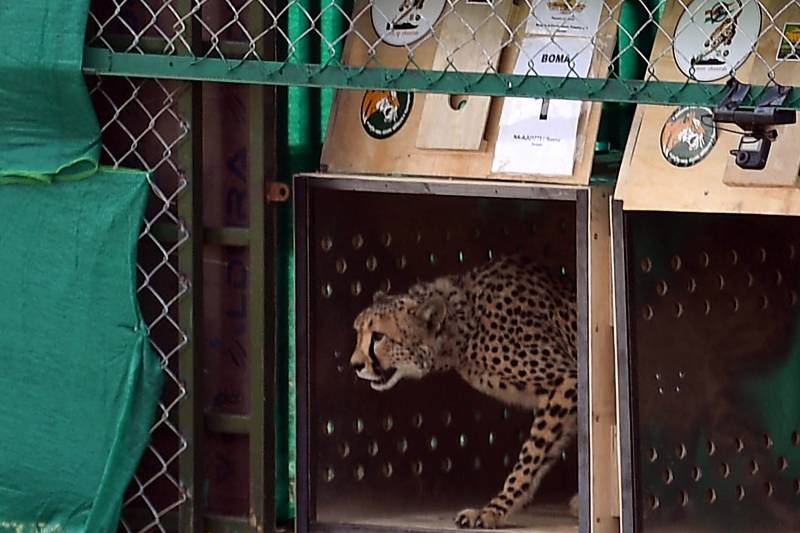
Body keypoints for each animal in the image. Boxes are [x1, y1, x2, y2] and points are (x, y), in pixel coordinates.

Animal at [346, 255, 580, 528]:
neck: (464, 327)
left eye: (378, 336)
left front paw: (495, 510)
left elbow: (530, 456)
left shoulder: (567, 379)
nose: (355, 365)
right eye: (358, 333)